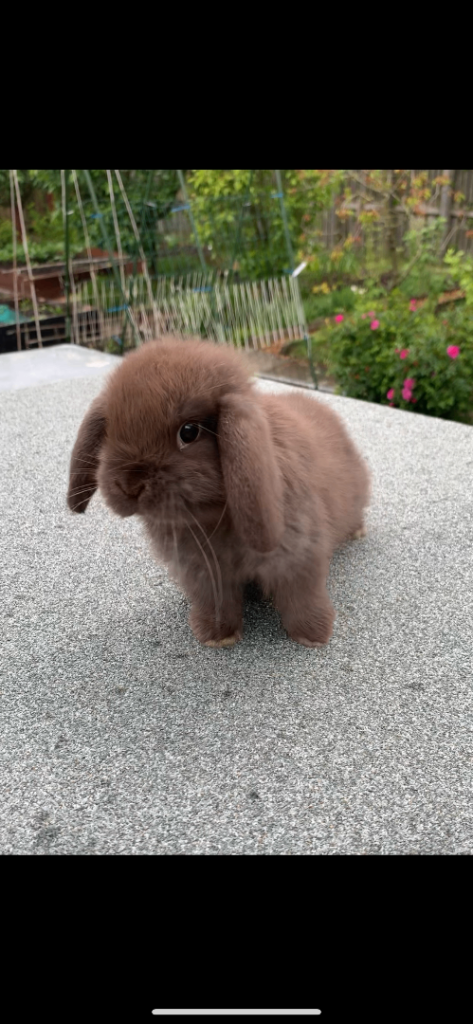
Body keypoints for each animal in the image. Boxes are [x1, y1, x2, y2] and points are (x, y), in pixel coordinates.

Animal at [67, 337, 370, 648]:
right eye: (111, 430)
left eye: (189, 432)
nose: (130, 485)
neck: (214, 516)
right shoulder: (203, 573)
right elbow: (216, 603)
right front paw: (216, 636)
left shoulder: (299, 559)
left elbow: (302, 598)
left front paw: (313, 635)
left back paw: (358, 532)